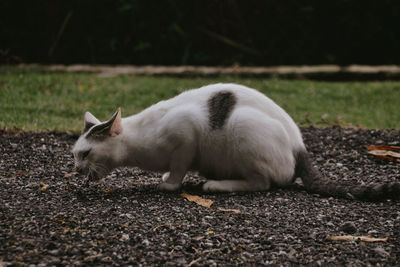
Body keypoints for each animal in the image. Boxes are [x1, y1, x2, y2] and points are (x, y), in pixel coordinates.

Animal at [72, 84, 400, 201]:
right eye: (75, 154)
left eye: (85, 154)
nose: (75, 169)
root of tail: (301, 146)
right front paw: (166, 178)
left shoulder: (186, 134)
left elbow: (179, 167)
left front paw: (170, 184)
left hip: (243, 128)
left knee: (263, 183)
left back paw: (217, 185)